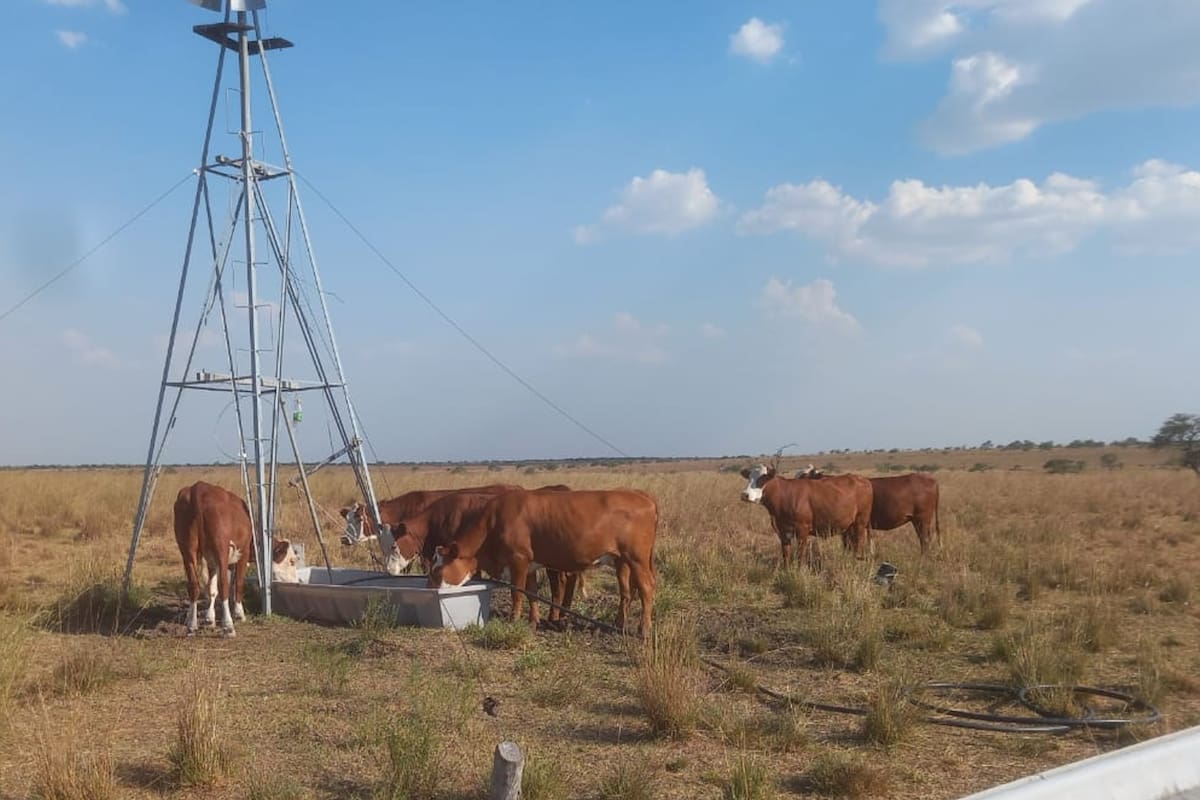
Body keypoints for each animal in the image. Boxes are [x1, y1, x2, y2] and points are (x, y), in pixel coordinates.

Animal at [173, 481, 300, 637]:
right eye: (291, 561)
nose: (296, 582)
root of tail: (199, 488)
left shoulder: (211, 561)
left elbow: (211, 588)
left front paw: (210, 619)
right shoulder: (242, 554)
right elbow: (237, 584)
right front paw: (239, 614)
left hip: (187, 549)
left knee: (193, 585)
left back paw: (191, 625)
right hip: (220, 548)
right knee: (223, 585)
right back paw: (228, 626)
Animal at [428, 488, 658, 637]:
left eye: (437, 570)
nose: (429, 587)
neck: (492, 524)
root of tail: (642, 495)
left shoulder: (518, 559)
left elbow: (517, 593)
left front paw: (514, 620)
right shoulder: (530, 564)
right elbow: (532, 593)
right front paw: (533, 621)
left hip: (637, 559)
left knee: (646, 588)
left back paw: (644, 629)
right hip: (621, 561)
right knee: (626, 592)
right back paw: (619, 625)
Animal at [740, 466, 872, 567]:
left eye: (763, 479)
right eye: (749, 478)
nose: (745, 495)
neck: (784, 496)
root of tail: (863, 479)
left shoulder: (802, 529)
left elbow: (800, 554)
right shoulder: (783, 531)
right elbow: (786, 554)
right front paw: (787, 571)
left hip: (860, 522)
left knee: (858, 543)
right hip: (848, 526)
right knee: (850, 544)